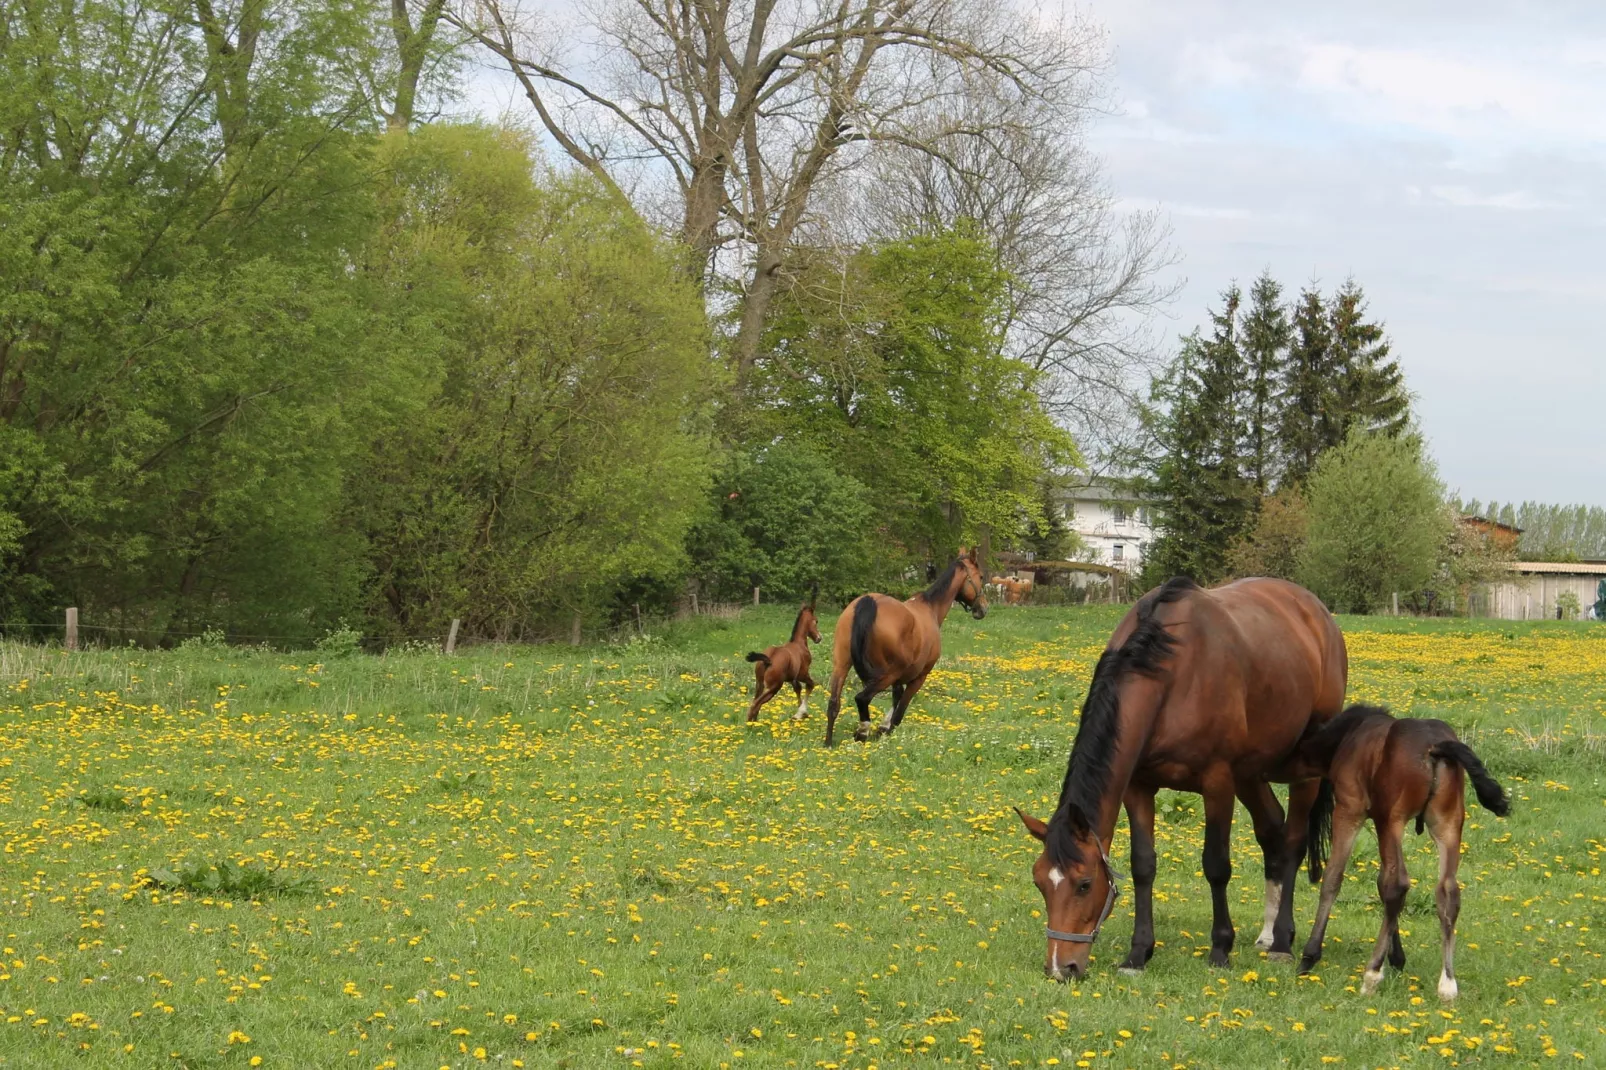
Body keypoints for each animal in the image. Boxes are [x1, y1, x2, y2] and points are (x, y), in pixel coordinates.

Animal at [741, 588, 822, 719]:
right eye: (816, 621)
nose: (819, 638)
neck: (799, 643)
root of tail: (768, 659)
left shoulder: (792, 678)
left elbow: (798, 689)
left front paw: (799, 714)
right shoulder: (803, 674)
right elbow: (811, 684)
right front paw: (801, 713)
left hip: (760, 684)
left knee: (755, 704)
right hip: (774, 687)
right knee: (755, 705)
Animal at [828, 549, 989, 742]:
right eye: (980, 576)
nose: (983, 608)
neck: (930, 608)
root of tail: (868, 602)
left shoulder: (898, 680)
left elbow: (896, 699)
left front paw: (882, 727)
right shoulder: (919, 677)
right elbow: (898, 714)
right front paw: (885, 730)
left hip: (841, 665)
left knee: (833, 704)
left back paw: (828, 743)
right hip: (888, 674)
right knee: (862, 698)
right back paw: (862, 732)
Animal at [1021, 575, 1349, 976]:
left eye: (1084, 884)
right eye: (1040, 882)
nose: (1060, 967)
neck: (1172, 672)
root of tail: (1318, 613)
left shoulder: (1218, 783)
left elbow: (1216, 865)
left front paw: (1221, 948)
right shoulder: (1138, 786)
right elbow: (1143, 864)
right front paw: (1138, 953)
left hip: (1302, 773)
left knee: (1293, 842)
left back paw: (1283, 942)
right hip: (1250, 773)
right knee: (1272, 830)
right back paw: (1268, 933)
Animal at [1291, 703, 1503, 996]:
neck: (1350, 735)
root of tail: (1435, 747)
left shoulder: (1349, 810)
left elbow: (1334, 878)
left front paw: (1309, 956)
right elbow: (1380, 883)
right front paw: (1397, 957)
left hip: (1391, 820)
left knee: (1398, 884)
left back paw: (1371, 974)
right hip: (1448, 823)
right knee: (1447, 891)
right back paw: (1447, 984)